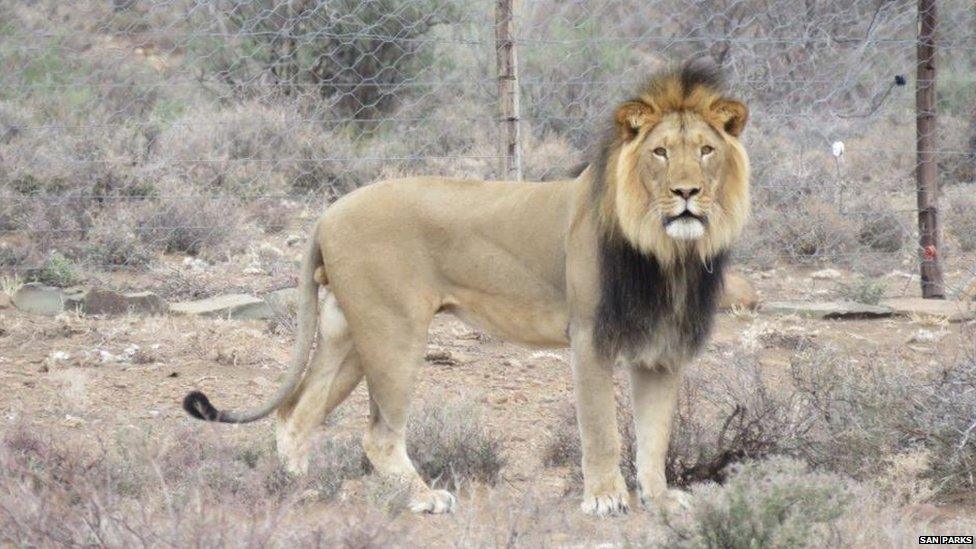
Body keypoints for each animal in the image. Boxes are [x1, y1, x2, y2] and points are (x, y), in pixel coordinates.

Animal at [182, 61, 750, 517]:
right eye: (659, 153)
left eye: (705, 151)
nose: (686, 193)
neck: (668, 254)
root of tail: (327, 212)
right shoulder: (591, 336)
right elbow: (601, 429)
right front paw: (606, 499)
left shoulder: (662, 350)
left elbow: (655, 437)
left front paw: (660, 499)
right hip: (394, 333)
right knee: (378, 434)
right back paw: (422, 497)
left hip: (350, 334)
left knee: (296, 413)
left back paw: (299, 488)